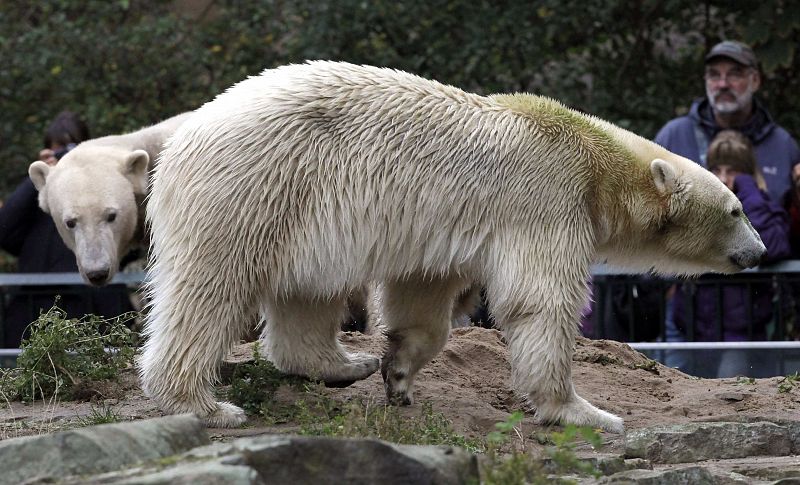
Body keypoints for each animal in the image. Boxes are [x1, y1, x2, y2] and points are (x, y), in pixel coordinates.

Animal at [141, 59, 764, 428]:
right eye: (735, 209)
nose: (758, 252)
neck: (593, 158)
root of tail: (181, 140)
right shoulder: (545, 196)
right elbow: (539, 300)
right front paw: (584, 411)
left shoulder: (442, 229)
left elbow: (422, 296)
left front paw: (397, 372)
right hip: (255, 186)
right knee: (210, 289)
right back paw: (202, 404)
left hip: (301, 210)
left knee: (308, 291)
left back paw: (344, 363)